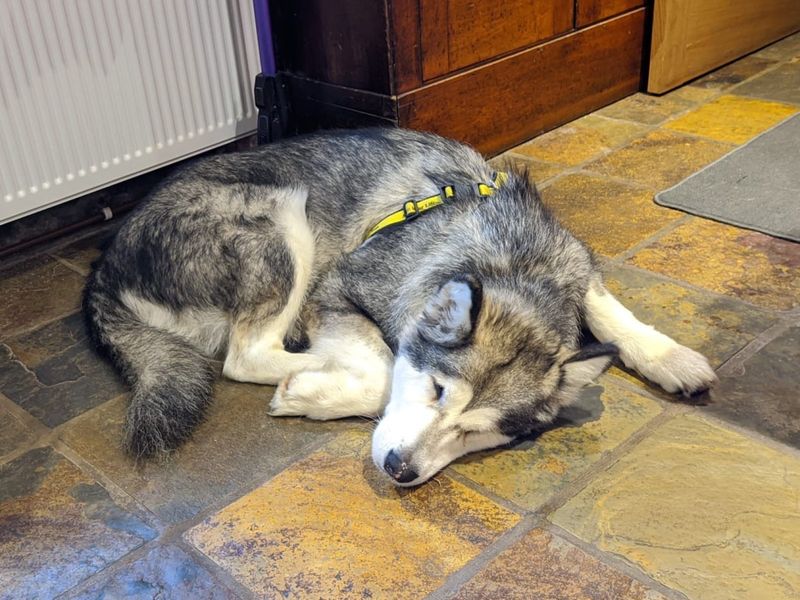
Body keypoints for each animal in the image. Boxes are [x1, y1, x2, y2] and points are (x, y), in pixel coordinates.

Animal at [84, 129, 716, 486]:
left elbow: (610, 311)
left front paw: (671, 358)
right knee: (246, 356)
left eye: (478, 433)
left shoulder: (574, 261)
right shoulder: (336, 288)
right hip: (283, 218)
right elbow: (385, 369)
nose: (400, 471)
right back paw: (312, 369)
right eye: (436, 391)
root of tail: (104, 268)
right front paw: (318, 391)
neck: (512, 262)